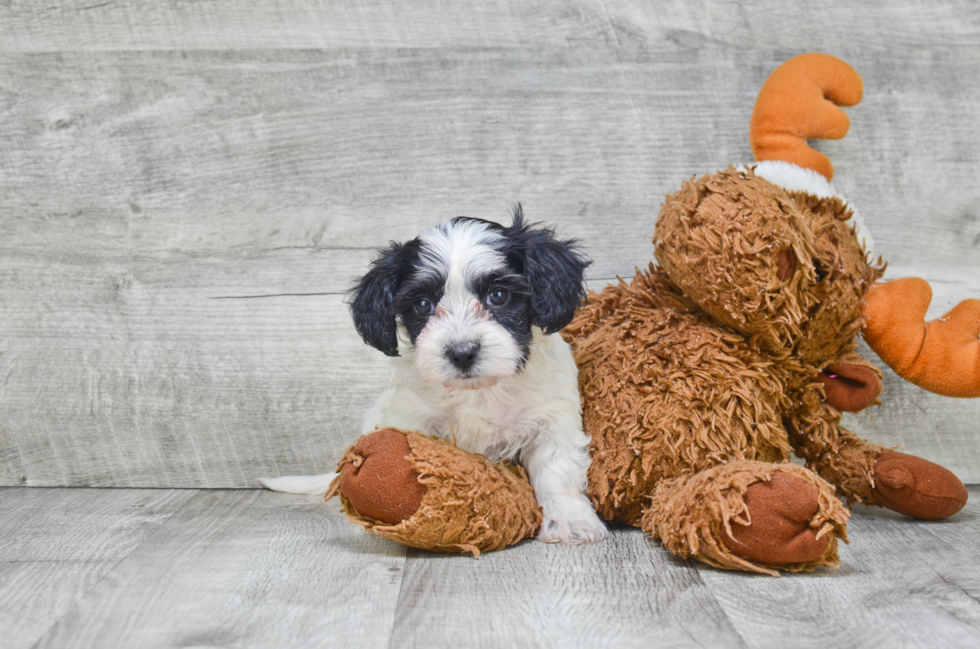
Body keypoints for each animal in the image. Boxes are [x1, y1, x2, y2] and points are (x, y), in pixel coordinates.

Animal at [264, 205, 608, 544]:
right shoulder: (410, 417)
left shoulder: (552, 417)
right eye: (422, 304)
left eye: (498, 295)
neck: (479, 392)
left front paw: (569, 520)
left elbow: (556, 472)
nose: (462, 352)